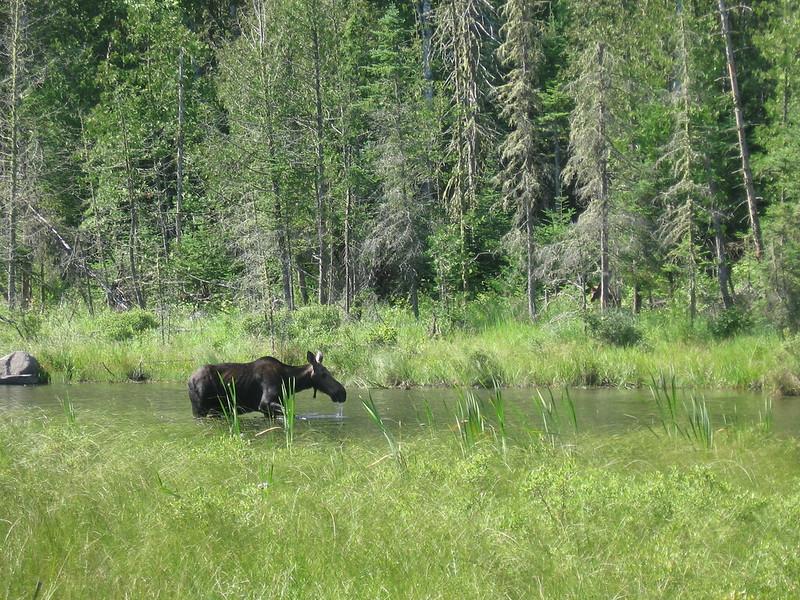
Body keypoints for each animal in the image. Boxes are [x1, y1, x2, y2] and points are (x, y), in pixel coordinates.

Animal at [192, 352, 348, 418]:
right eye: (324, 374)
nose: (342, 393)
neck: (289, 381)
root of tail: (190, 380)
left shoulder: (269, 409)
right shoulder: (264, 403)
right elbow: (292, 414)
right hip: (200, 409)